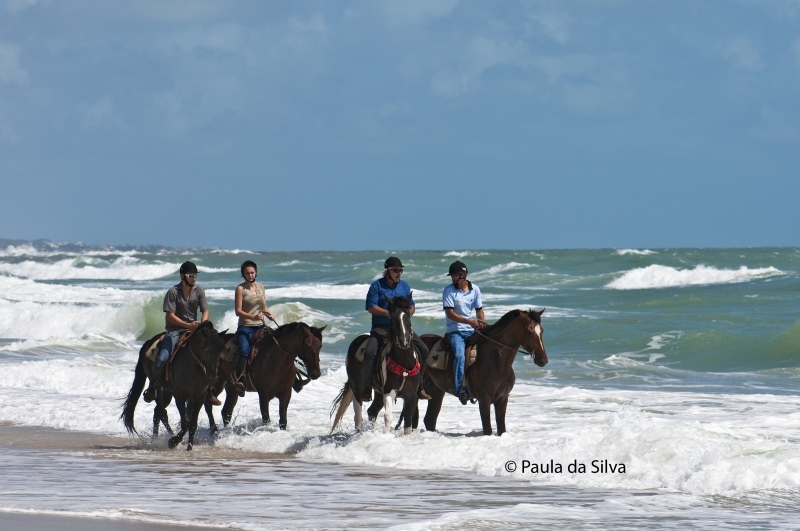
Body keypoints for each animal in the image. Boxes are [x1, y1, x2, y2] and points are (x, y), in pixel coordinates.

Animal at [122, 322, 228, 450]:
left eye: (220, 351)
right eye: (206, 350)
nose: (212, 378)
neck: (193, 365)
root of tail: (148, 342)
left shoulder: (199, 397)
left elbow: (193, 423)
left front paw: (189, 447)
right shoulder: (180, 396)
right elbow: (186, 423)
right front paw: (173, 442)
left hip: (168, 392)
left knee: (157, 412)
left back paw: (157, 439)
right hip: (159, 388)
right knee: (162, 412)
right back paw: (163, 438)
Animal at [330, 296, 422, 436]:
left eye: (408, 316)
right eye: (393, 317)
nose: (404, 341)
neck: (404, 363)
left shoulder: (411, 395)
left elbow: (408, 422)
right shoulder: (389, 390)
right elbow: (388, 416)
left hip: (378, 392)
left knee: (372, 411)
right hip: (357, 389)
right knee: (358, 416)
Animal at [422, 308, 548, 436]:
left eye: (542, 331)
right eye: (529, 332)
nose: (543, 360)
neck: (496, 360)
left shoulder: (502, 399)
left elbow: (501, 428)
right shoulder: (484, 400)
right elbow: (487, 429)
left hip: (437, 391)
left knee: (430, 420)